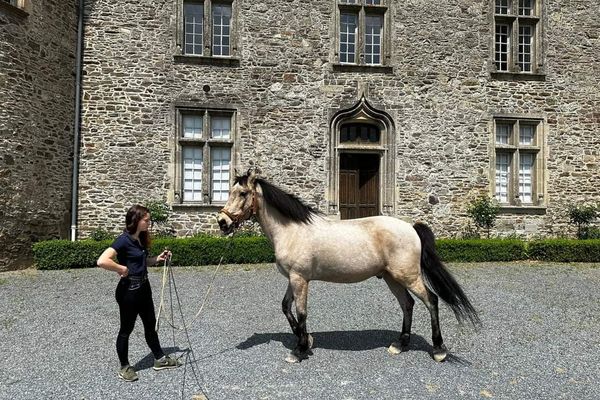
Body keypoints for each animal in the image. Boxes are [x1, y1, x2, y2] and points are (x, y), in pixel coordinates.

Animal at [216, 167, 478, 360]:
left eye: (242, 193)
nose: (222, 222)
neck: (292, 230)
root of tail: (411, 227)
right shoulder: (294, 278)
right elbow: (286, 307)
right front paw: (306, 341)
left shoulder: (300, 279)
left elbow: (301, 312)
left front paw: (299, 350)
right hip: (392, 278)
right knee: (408, 304)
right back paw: (400, 344)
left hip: (409, 276)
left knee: (431, 301)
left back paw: (439, 349)